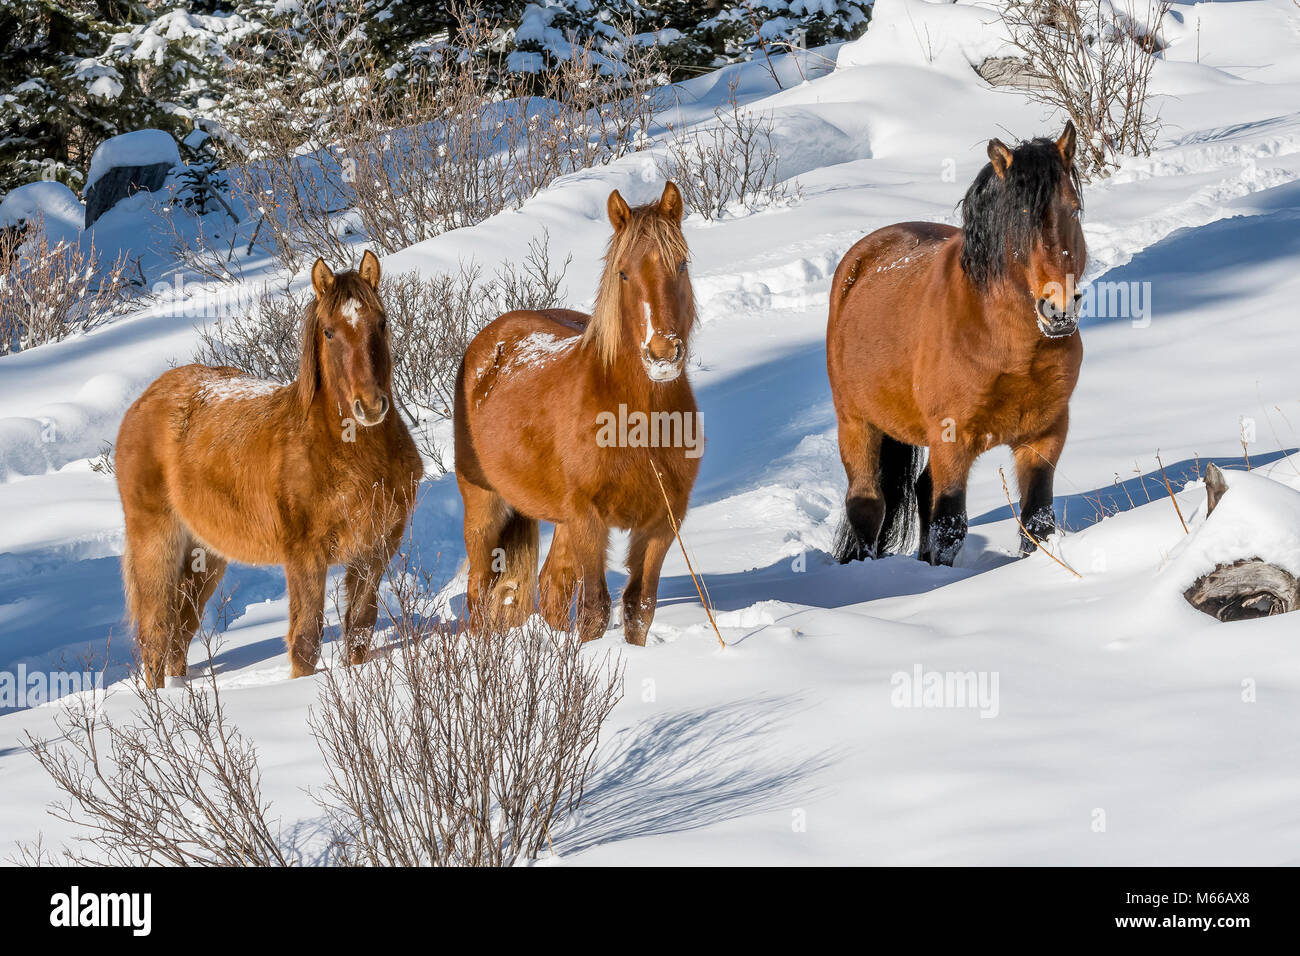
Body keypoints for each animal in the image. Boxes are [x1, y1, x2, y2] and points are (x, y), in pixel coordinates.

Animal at [115, 251, 421, 686]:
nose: (371, 405)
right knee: (155, 634)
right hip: (156, 542)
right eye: (329, 332)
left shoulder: (375, 549)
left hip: (205, 556)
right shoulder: (305, 556)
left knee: (180, 631)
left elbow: (360, 627)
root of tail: (144, 400)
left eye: (381, 322)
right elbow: (306, 640)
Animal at [454, 180, 702, 642]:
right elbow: (594, 610)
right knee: (480, 590)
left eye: (680, 265)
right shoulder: (590, 519)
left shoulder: (662, 522)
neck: (635, 420)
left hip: (562, 521)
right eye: (623, 273)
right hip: (485, 505)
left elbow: (639, 607)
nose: (662, 353)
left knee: (552, 585)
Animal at [832, 122, 1086, 564]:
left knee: (920, 489)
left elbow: (1037, 521)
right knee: (867, 503)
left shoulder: (1045, 434)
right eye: (1018, 218)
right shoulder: (951, 440)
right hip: (856, 423)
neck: (1011, 347)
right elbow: (949, 527)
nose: (1058, 309)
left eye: (1073, 210)